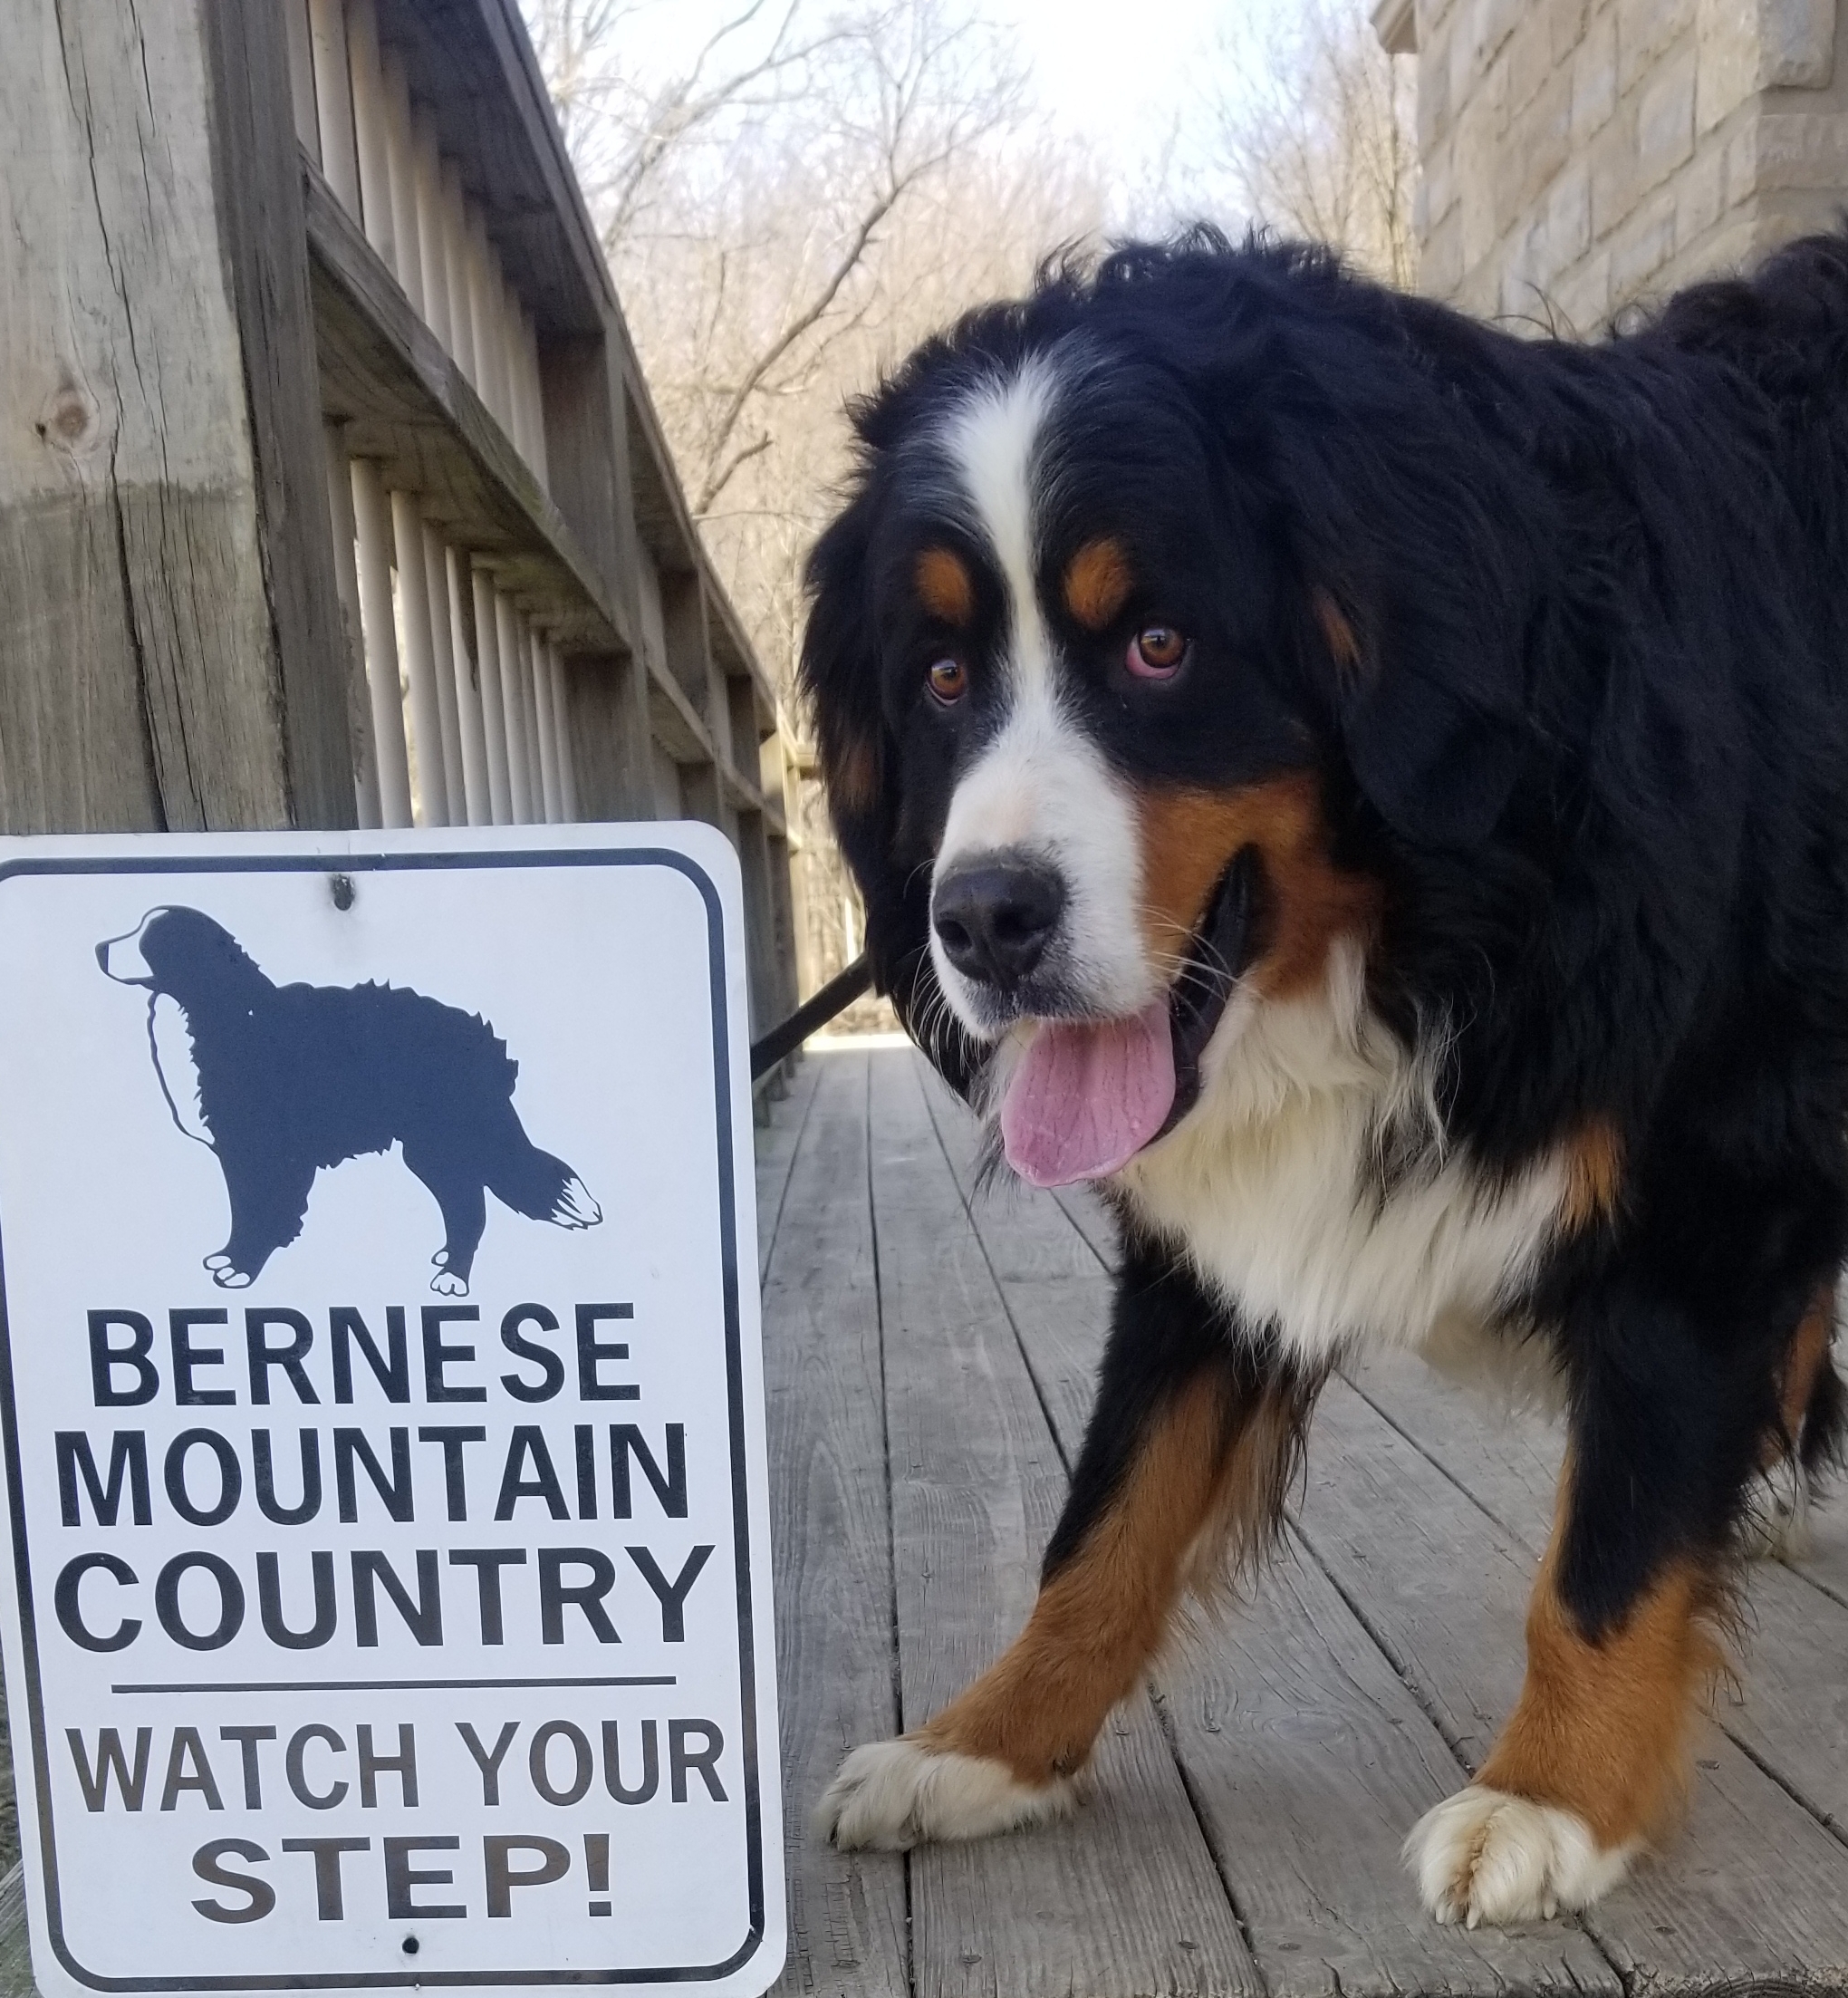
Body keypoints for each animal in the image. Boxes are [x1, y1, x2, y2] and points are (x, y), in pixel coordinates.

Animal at [799, 227, 1845, 1926]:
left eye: (1160, 645)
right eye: (942, 676)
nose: (984, 920)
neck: (1430, 921)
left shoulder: (1711, 1171)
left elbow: (1611, 1546)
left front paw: (1550, 1795)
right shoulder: (1196, 1260)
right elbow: (1108, 1517)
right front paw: (983, 1744)